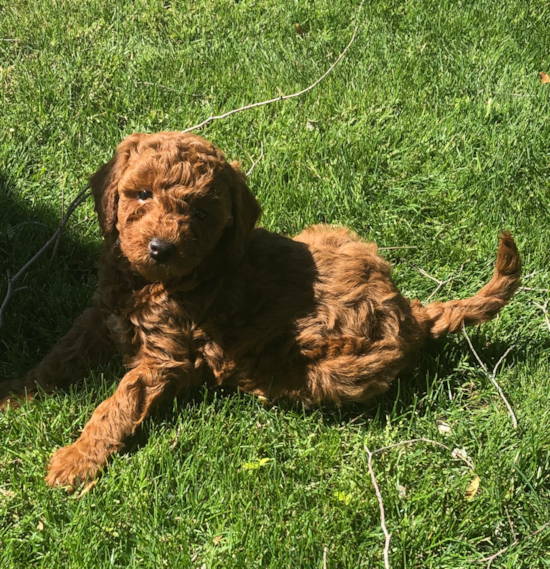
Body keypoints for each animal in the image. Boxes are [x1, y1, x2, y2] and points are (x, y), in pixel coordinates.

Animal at [0, 131, 524, 486]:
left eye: (201, 214)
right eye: (142, 194)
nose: (161, 248)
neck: (153, 283)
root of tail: (410, 311)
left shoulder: (165, 356)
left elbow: (121, 399)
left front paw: (77, 458)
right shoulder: (99, 315)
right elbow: (57, 357)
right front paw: (16, 391)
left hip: (333, 372)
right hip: (332, 234)